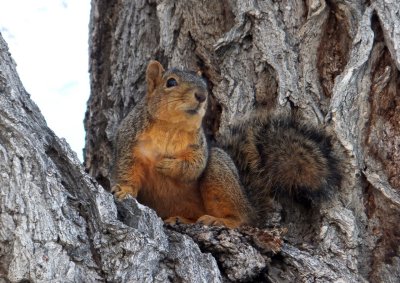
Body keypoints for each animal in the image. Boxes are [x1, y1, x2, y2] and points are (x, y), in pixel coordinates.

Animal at [112, 60, 340, 229]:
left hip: (219, 172)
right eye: (170, 82)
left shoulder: (199, 148)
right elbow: (127, 170)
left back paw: (219, 220)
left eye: (204, 83)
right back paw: (180, 219)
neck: (170, 128)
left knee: (242, 219)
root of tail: (251, 204)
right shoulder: (129, 143)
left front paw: (167, 165)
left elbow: (193, 167)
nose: (202, 95)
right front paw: (123, 191)